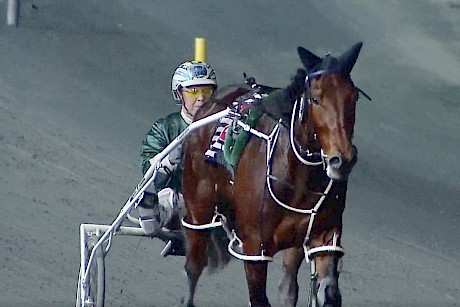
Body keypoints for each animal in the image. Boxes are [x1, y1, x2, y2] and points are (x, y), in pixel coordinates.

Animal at [181, 41, 364, 307]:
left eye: (353, 98)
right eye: (316, 99)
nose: (344, 159)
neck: (299, 178)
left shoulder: (323, 237)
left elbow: (326, 291)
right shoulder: (254, 249)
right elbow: (258, 296)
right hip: (199, 209)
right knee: (193, 266)